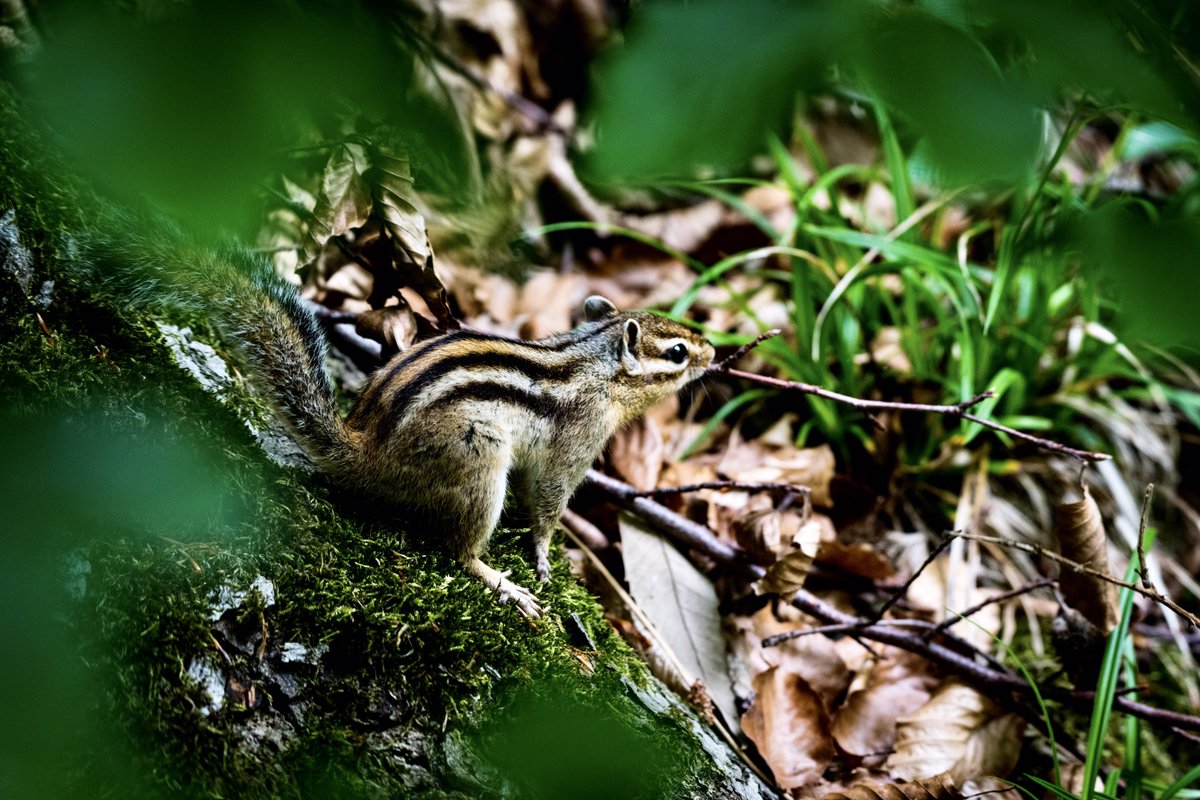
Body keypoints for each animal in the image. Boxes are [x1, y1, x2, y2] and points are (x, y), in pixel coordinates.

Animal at [84, 222, 714, 618]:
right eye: (678, 351)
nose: (714, 352)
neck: (592, 360)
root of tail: (367, 453)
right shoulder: (577, 439)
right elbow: (549, 504)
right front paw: (540, 559)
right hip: (479, 458)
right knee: (459, 552)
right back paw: (502, 583)